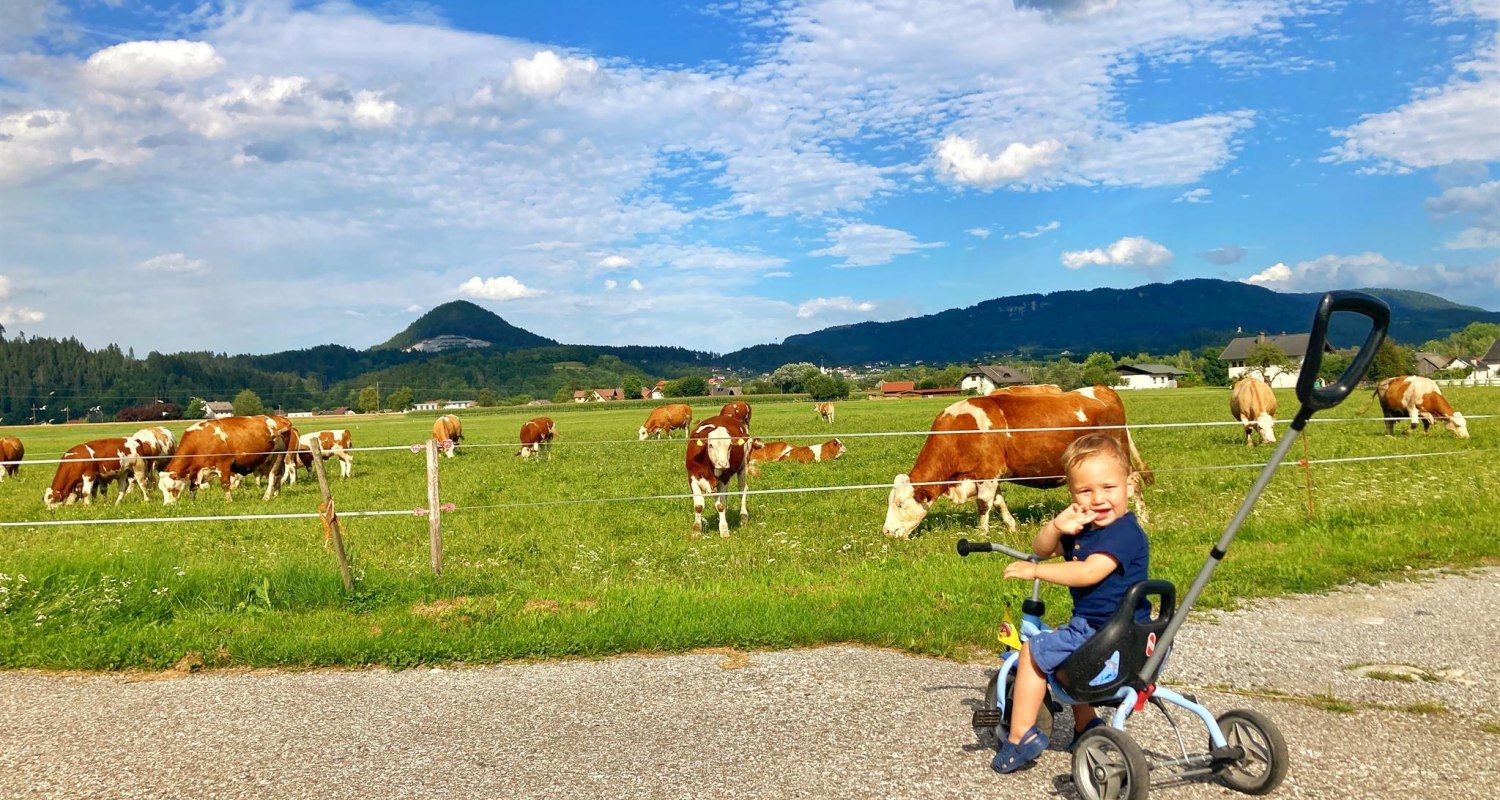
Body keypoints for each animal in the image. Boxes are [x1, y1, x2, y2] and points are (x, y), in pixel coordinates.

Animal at [158, 414, 292, 501]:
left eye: (170, 488)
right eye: (161, 489)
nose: (167, 505)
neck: (200, 441)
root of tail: (279, 417)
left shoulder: (224, 464)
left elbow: (225, 484)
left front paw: (229, 501)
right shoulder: (196, 471)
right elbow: (193, 487)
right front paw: (192, 503)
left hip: (278, 456)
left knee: (272, 476)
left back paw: (267, 496)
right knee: (278, 477)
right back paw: (276, 494)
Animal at [876, 384, 1146, 540]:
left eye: (900, 503)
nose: (886, 531)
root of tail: (1103, 389)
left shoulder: (987, 472)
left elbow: (984, 504)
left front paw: (981, 534)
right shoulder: (988, 477)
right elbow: (998, 503)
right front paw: (1012, 527)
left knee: (1134, 483)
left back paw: (1144, 520)